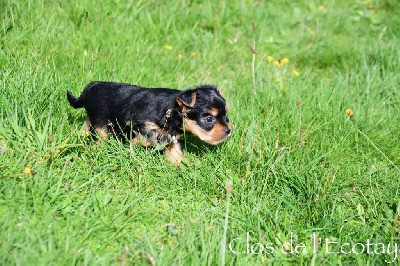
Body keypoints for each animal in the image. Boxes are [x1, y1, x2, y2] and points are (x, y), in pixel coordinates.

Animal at [67, 81, 233, 166]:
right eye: (209, 119)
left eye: (226, 115)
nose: (228, 130)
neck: (171, 110)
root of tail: (92, 85)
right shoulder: (143, 129)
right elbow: (143, 141)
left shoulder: (175, 139)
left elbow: (177, 156)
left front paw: (185, 168)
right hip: (101, 124)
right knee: (99, 137)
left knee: (86, 124)